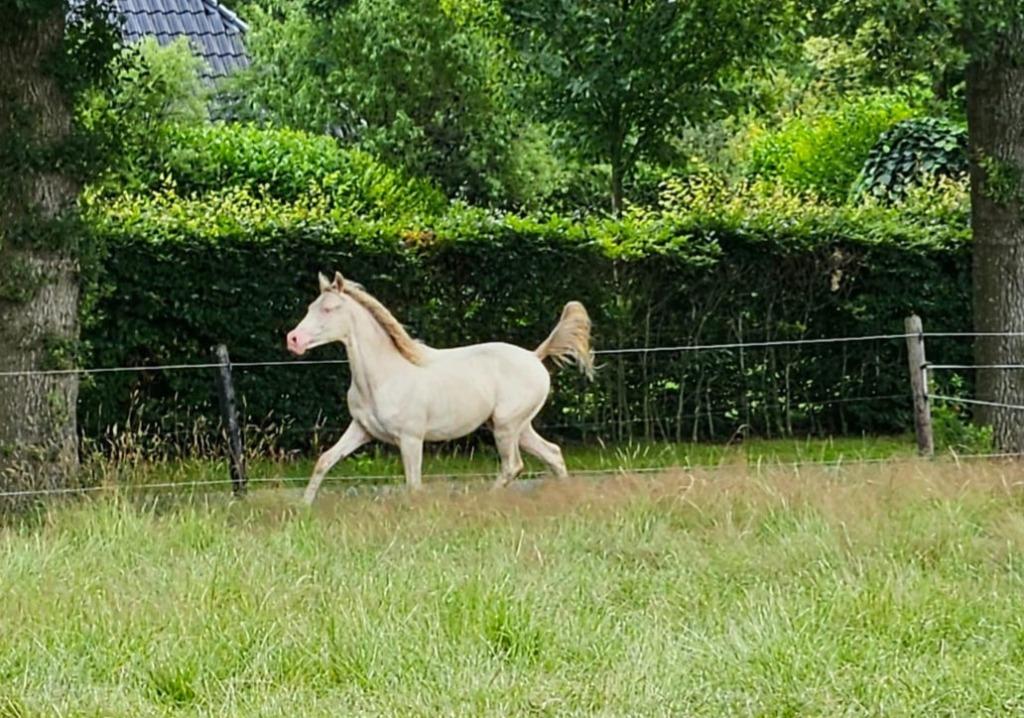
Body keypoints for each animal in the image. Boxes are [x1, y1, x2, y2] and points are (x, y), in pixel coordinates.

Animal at [285, 272, 594, 504]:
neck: (384, 376)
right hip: (516, 427)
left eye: (328, 309)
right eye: (310, 308)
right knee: (552, 453)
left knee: (513, 465)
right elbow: (325, 460)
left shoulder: (410, 438)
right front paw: (304, 507)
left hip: (507, 426)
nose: (293, 339)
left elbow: (413, 484)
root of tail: (534, 356)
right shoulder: (362, 429)